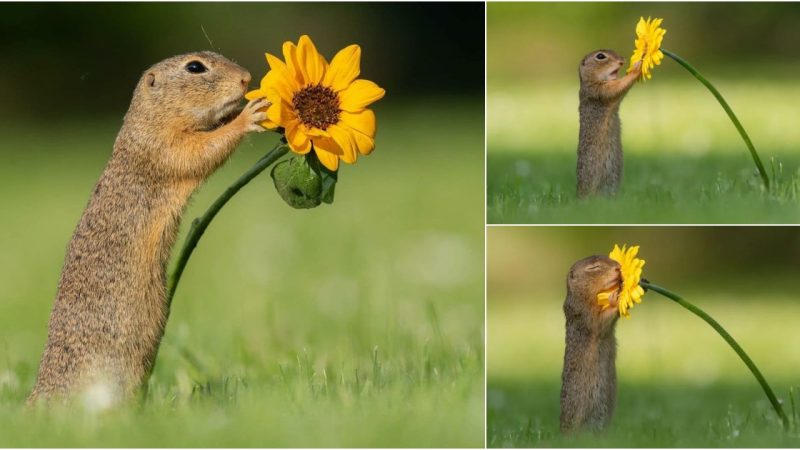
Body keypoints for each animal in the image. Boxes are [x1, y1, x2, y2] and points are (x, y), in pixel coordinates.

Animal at [28, 52, 268, 404]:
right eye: (195, 67)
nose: (247, 78)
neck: (148, 119)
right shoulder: (163, 147)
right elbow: (201, 151)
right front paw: (250, 114)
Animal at [576, 49, 644, 197]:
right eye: (600, 56)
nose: (622, 60)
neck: (590, 80)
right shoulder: (599, 91)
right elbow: (618, 86)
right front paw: (637, 67)